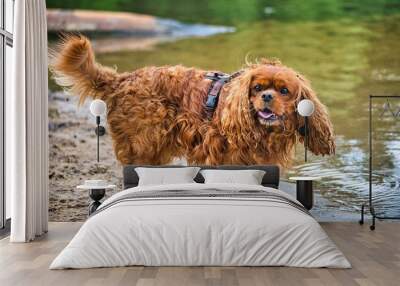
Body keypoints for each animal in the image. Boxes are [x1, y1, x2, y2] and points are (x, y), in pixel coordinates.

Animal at [51, 34, 336, 168]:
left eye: (284, 91)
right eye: (257, 88)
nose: (266, 97)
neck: (261, 133)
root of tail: (122, 79)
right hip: (142, 143)